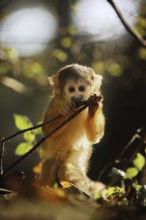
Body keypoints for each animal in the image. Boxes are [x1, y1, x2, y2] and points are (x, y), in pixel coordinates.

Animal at [36, 63, 105, 198]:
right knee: (51, 163)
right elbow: (46, 131)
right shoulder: (55, 102)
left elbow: (95, 137)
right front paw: (65, 110)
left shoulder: (100, 102)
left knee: (66, 168)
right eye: (72, 89)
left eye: (81, 88)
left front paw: (93, 108)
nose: (77, 97)